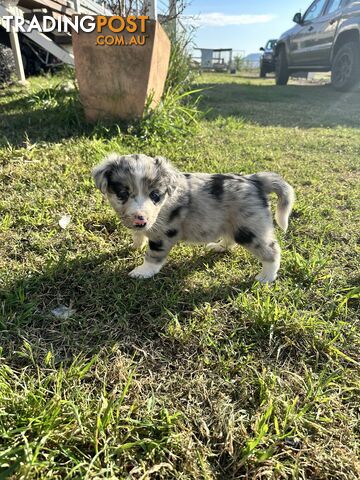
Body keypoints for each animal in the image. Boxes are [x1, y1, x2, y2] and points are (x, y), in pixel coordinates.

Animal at [93, 153, 296, 282]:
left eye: (155, 195)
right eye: (122, 194)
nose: (140, 219)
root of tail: (255, 180)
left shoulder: (163, 234)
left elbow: (153, 255)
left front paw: (142, 272)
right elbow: (138, 235)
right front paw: (134, 246)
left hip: (250, 228)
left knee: (272, 250)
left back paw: (266, 277)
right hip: (232, 223)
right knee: (230, 239)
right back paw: (219, 246)